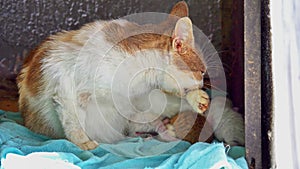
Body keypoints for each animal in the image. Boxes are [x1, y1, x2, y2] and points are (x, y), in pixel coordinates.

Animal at [17, 0, 209, 149]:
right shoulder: (63, 81)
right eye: (201, 72)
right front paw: (83, 142)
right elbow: (73, 120)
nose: (201, 83)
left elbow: (172, 101)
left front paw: (196, 99)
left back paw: (162, 129)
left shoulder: (141, 97)